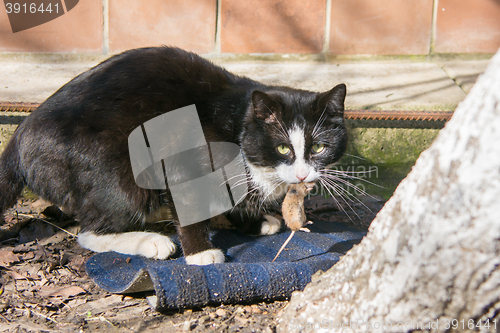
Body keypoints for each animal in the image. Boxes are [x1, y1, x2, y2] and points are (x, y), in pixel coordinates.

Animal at [0, 46, 346, 264]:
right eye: (283, 148)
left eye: (318, 147)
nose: (302, 174)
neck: (237, 123)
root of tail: (19, 139)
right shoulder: (184, 158)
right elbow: (189, 199)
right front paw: (200, 252)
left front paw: (253, 221)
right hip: (117, 167)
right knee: (89, 232)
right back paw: (150, 240)